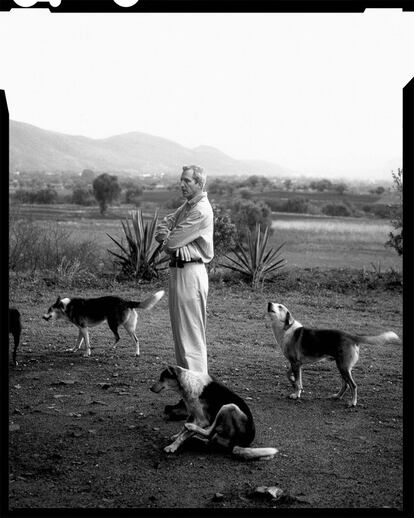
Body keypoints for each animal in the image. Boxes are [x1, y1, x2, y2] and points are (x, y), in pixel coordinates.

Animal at [150, 368, 278, 462]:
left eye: (162, 378)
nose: (150, 388)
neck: (187, 384)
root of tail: (238, 444)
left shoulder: (202, 420)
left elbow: (184, 433)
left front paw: (172, 446)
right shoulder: (192, 414)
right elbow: (182, 430)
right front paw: (177, 437)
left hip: (228, 406)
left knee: (208, 432)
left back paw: (192, 429)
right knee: (209, 436)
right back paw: (195, 436)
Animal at [268, 302, 402, 408]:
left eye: (280, 306)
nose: (269, 303)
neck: (286, 329)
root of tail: (352, 337)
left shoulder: (295, 363)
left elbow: (296, 381)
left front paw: (296, 394)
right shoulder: (296, 364)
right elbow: (292, 377)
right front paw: (296, 387)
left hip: (343, 367)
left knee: (353, 385)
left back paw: (352, 403)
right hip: (342, 367)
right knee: (346, 385)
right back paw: (337, 396)